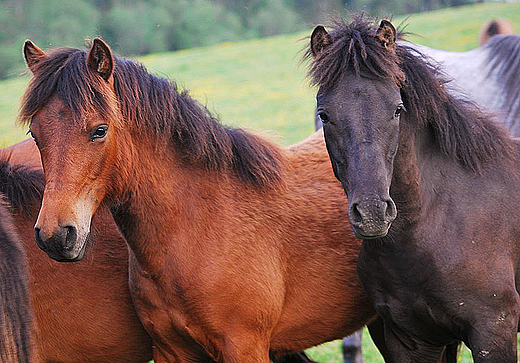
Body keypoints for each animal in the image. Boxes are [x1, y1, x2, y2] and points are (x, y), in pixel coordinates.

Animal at [20, 39, 380, 363]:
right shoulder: (171, 350)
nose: (55, 235)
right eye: (35, 135)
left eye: (99, 130)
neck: (198, 226)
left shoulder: (244, 347)